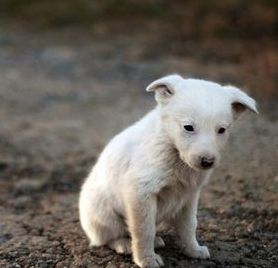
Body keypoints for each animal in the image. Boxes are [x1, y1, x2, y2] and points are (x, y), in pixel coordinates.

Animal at [78, 74, 256, 268]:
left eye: (221, 130)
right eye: (188, 127)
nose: (207, 162)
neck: (173, 151)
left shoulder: (189, 196)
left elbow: (189, 226)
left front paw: (193, 250)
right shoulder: (141, 192)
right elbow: (144, 230)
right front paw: (146, 259)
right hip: (104, 214)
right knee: (108, 237)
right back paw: (124, 244)